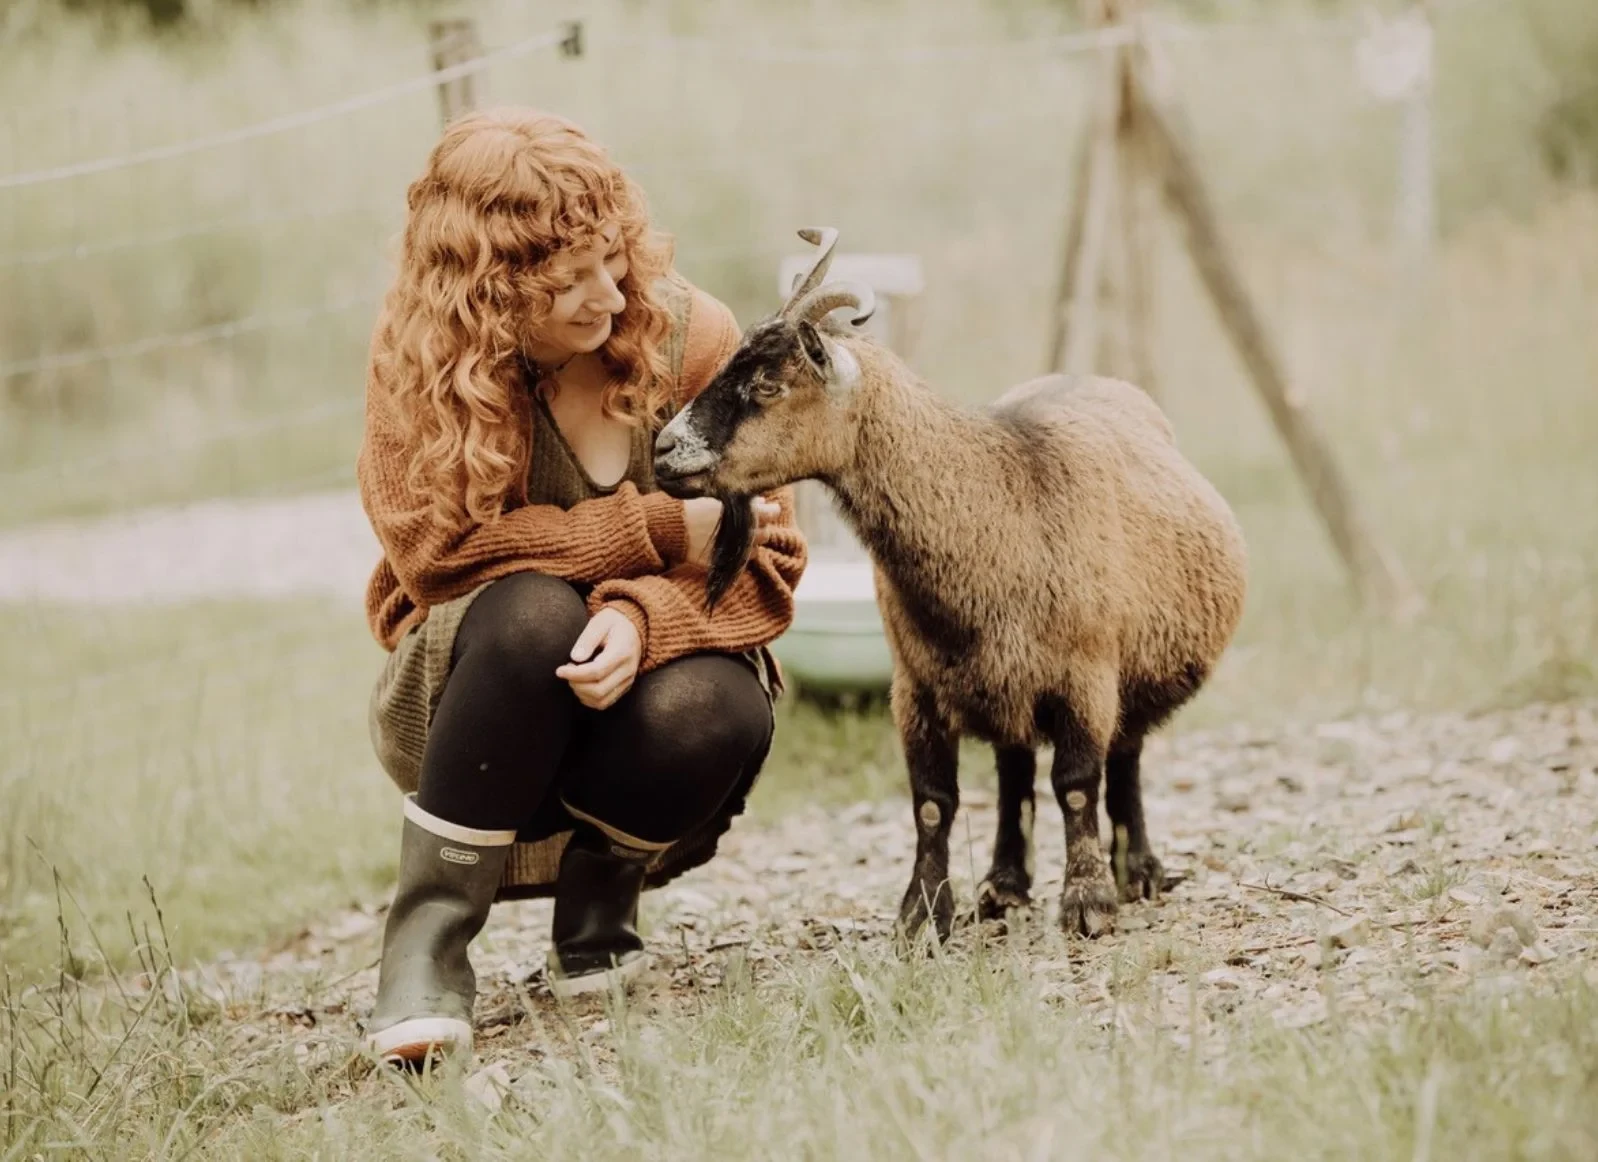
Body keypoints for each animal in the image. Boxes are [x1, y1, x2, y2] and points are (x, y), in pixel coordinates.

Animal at [654, 227, 1248, 940]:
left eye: (769, 384)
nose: (664, 450)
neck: (1008, 499)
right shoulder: (917, 687)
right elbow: (934, 803)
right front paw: (923, 914)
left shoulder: (1086, 675)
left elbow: (1078, 782)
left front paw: (1087, 904)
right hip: (1004, 686)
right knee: (1015, 772)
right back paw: (1004, 886)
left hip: (1128, 673)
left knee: (1123, 758)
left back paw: (1138, 872)